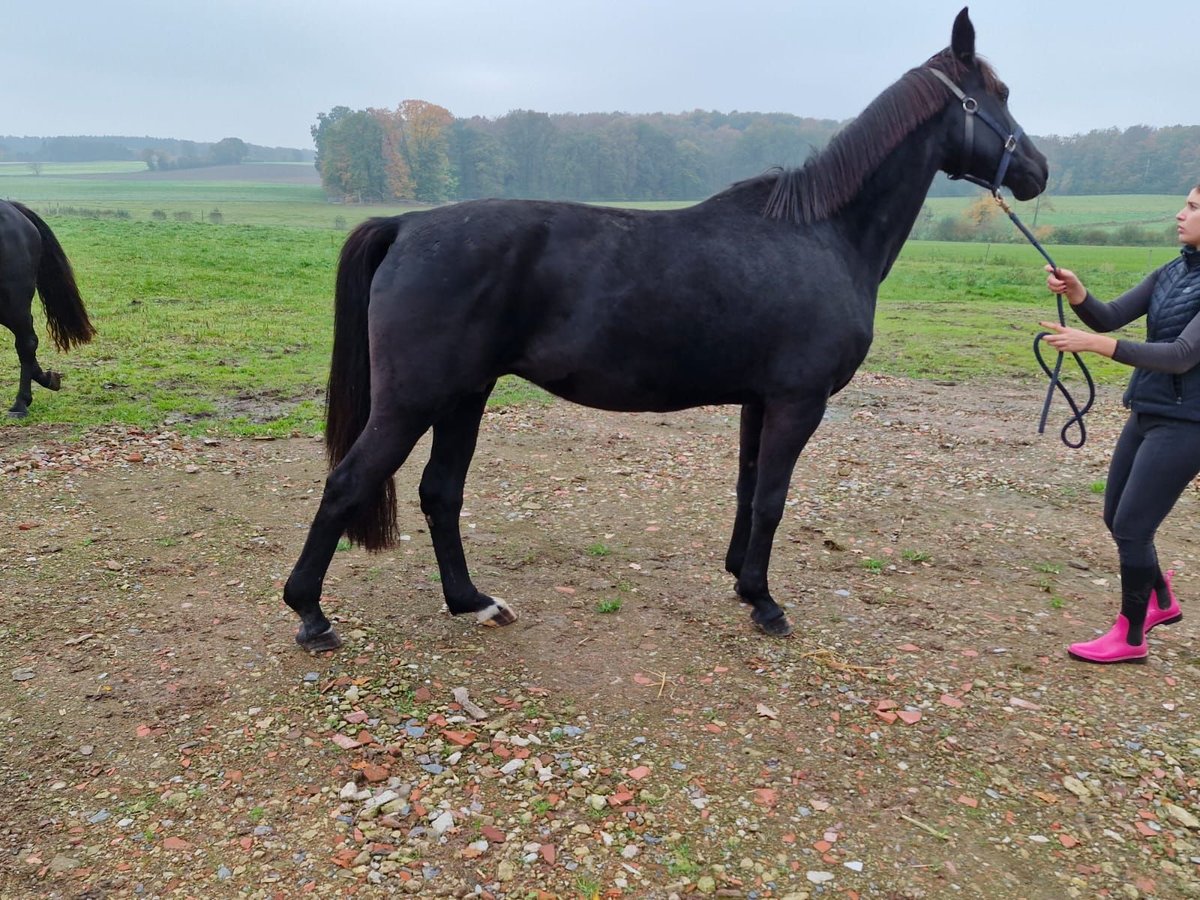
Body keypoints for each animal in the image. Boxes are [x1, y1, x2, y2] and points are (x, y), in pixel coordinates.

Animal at [285, 10, 1046, 652]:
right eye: (999, 93)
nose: (1038, 172)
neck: (822, 234)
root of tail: (408, 224)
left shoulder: (760, 401)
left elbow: (749, 490)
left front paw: (741, 579)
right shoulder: (798, 401)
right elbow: (773, 497)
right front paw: (766, 602)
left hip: (464, 396)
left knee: (440, 493)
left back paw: (471, 601)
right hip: (415, 399)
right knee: (347, 483)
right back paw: (312, 616)